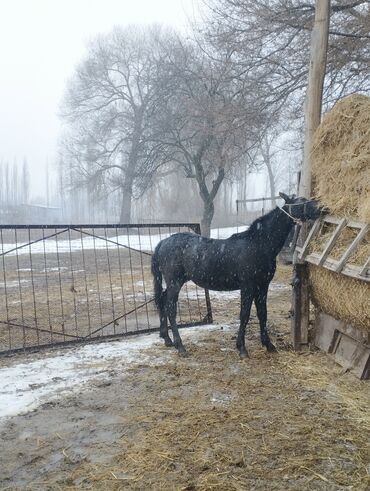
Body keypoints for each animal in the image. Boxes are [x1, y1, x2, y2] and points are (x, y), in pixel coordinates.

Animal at [150, 192, 324, 358]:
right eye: (300, 201)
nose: (322, 207)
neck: (259, 244)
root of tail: (163, 242)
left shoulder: (263, 286)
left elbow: (262, 314)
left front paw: (269, 345)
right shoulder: (248, 286)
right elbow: (245, 314)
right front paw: (242, 349)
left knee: (163, 301)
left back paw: (167, 339)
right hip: (175, 282)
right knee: (171, 308)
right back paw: (180, 346)